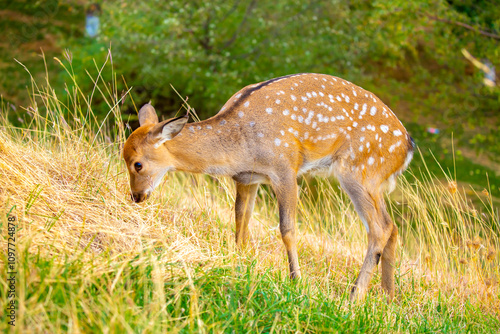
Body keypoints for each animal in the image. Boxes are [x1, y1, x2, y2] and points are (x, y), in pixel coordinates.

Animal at [123, 73, 416, 302]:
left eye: (137, 164)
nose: (136, 196)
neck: (239, 146)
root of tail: (407, 145)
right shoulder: (246, 178)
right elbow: (241, 221)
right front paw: (239, 262)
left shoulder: (285, 168)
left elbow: (287, 229)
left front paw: (296, 281)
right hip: (374, 180)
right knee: (392, 226)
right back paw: (388, 298)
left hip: (358, 169)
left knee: (380, 228)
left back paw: (354, 297)